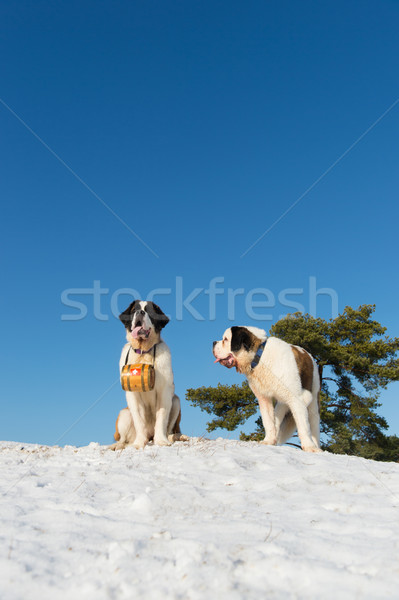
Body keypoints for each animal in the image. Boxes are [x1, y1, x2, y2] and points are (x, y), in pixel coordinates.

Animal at [110, 300, 187, 450]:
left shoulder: (165, 391)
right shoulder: (132, 394)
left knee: (170, 430)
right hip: (124, 414)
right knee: (123, 439)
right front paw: (139, 443)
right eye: (134, 310)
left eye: (149, 311)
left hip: (176, 401)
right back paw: (118, 445)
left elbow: (162, 417)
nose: (140, 312)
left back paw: (176, 437)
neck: (143, 351)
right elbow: (139, 419)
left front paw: (161, 441)